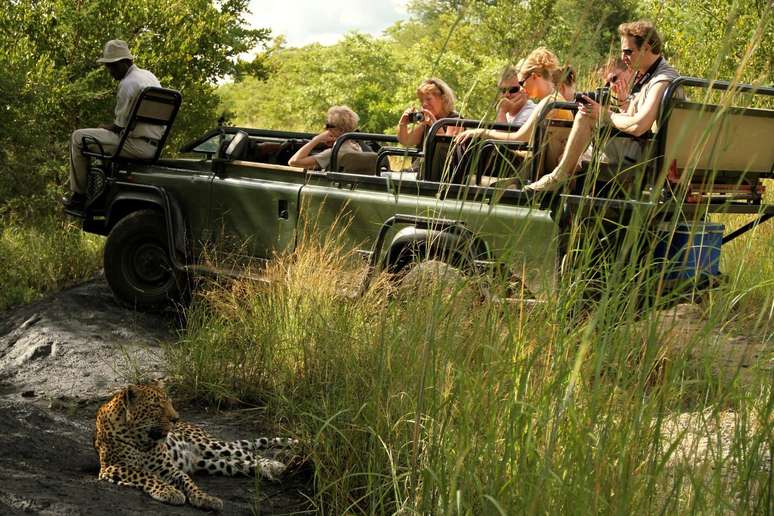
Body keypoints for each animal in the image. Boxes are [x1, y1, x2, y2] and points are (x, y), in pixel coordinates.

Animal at [93, 380, 297, 510]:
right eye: (157, 406)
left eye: (170, 402)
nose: (176, 419)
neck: (141, 439)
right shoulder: (112, 467)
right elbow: (145, 474)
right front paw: (169, 491)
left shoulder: (169, 469)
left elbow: (187, 481)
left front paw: (204, 498)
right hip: (208, 463)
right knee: (239, 463)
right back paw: (267, 470)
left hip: (209, 445)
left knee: (246, 453)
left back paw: (275, 465)